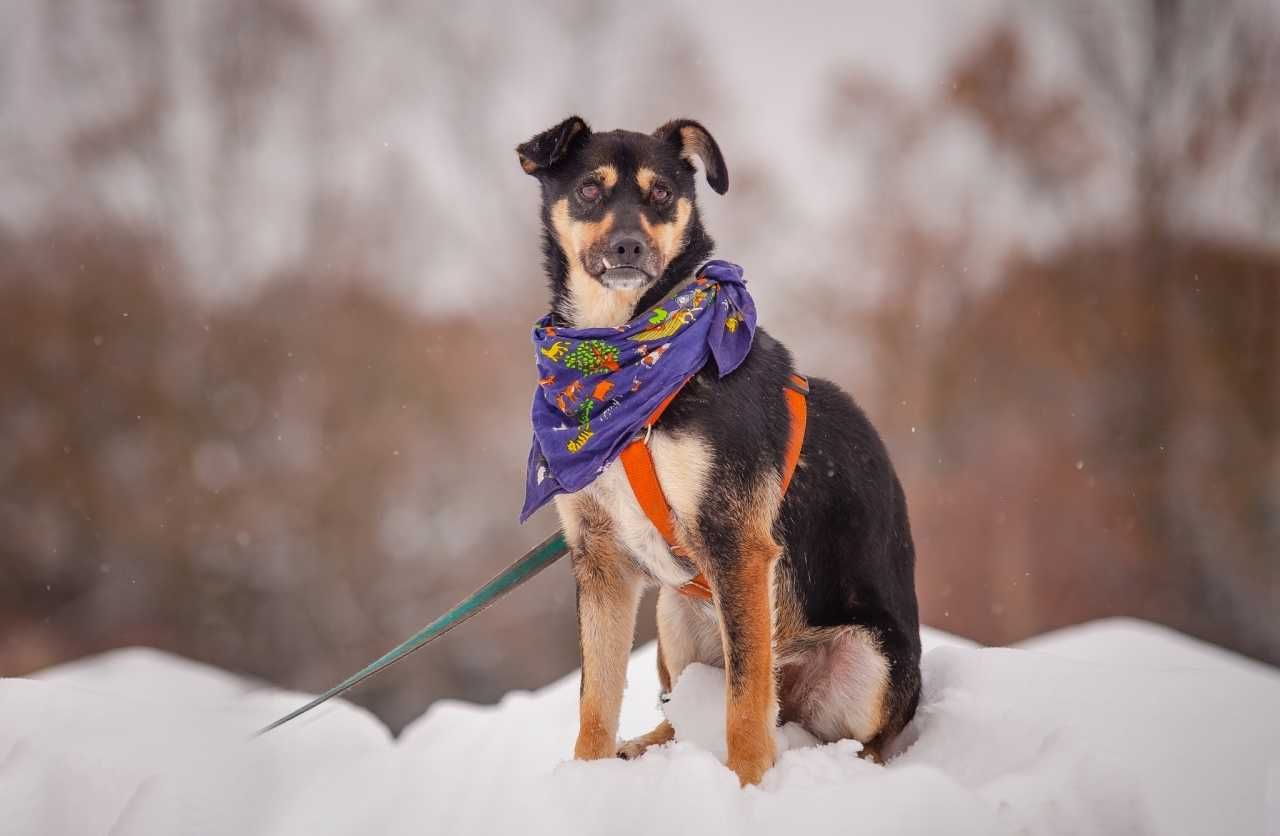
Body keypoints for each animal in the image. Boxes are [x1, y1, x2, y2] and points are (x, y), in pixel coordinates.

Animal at [512, 113, 921, 783]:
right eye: (591, 189)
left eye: (660, 194)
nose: (629, 247)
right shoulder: (600, 562)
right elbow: (595, 700)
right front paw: (588, 779)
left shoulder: (737, 544)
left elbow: (745, 703)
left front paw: (750, 787)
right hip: (676, 617)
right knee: (683, 714)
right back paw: (642, 748)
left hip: (871, 657)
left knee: (843, 732)